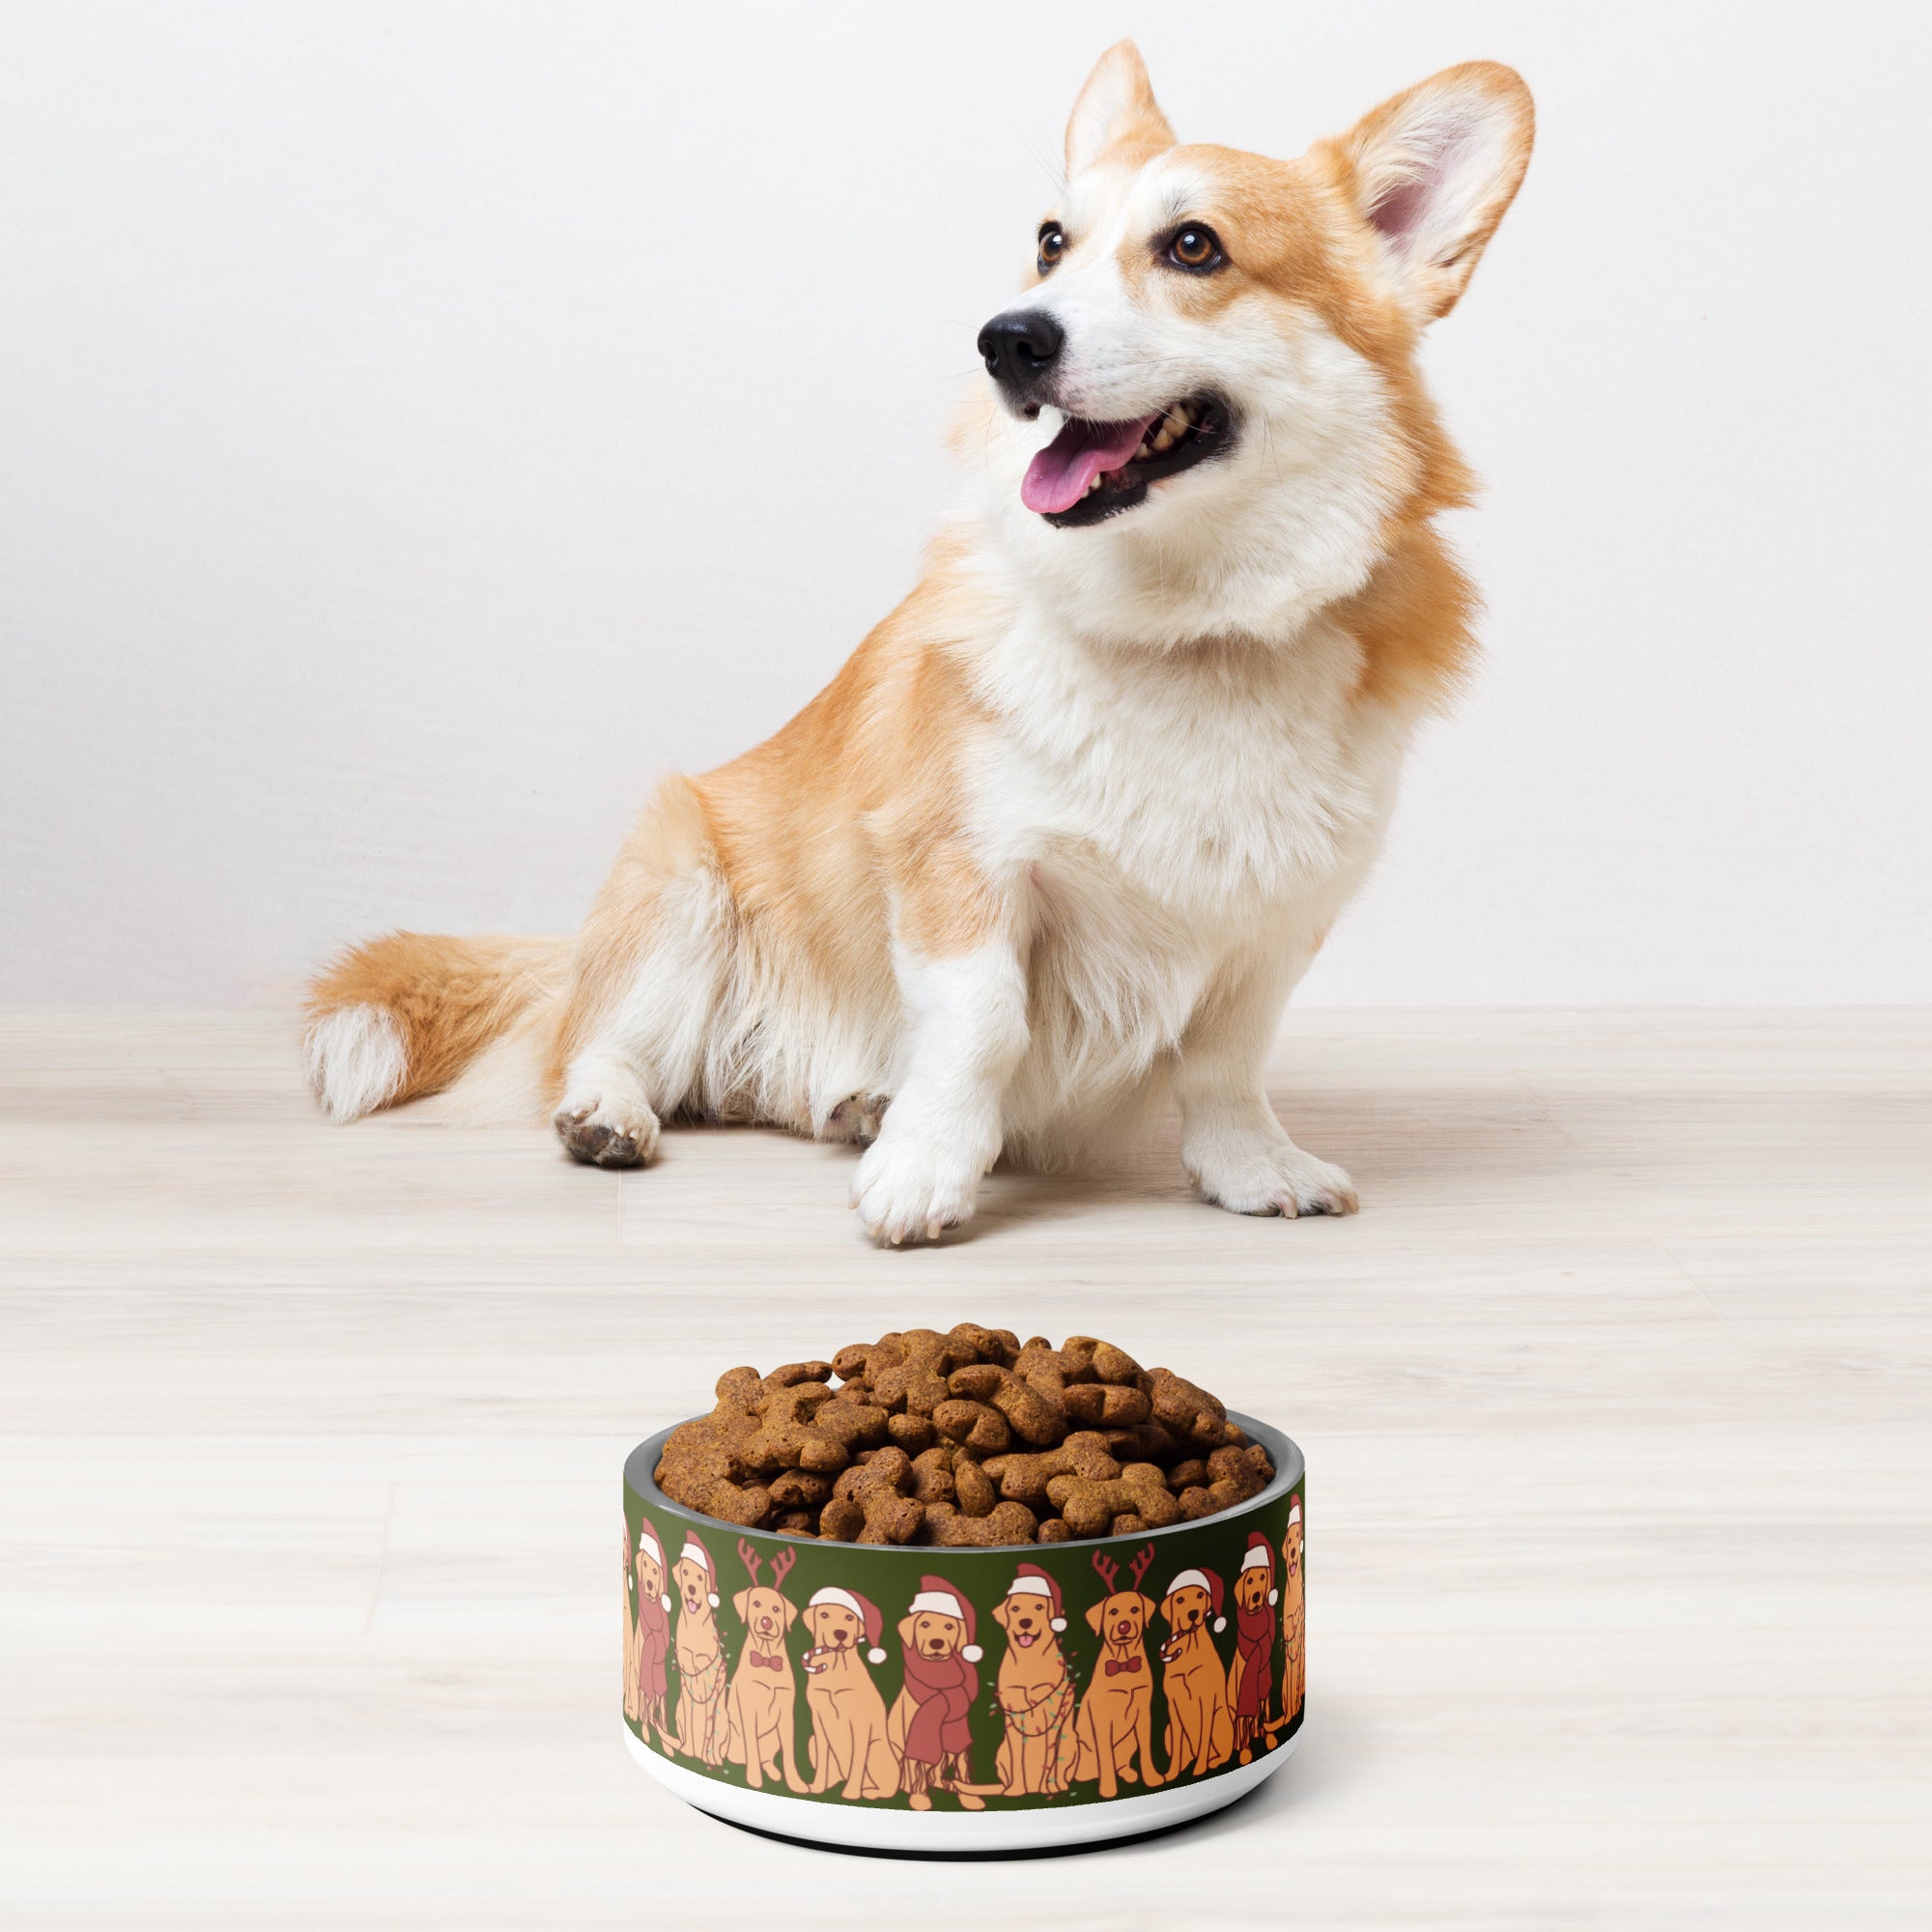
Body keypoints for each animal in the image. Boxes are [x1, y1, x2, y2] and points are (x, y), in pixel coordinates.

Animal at [301, 56, 1538, 1252]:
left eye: (1194, 247)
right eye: (1050, 243)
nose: (1007, 338)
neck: (1182, 627)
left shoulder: (1274, 918)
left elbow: (1226, 1061)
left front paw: (1251, 1169)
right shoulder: (960, 865)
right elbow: (981, 1023)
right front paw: (928, 1169)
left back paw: (856, 1103)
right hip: (682, 888)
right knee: (604, 1045)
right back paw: (619, 1113)